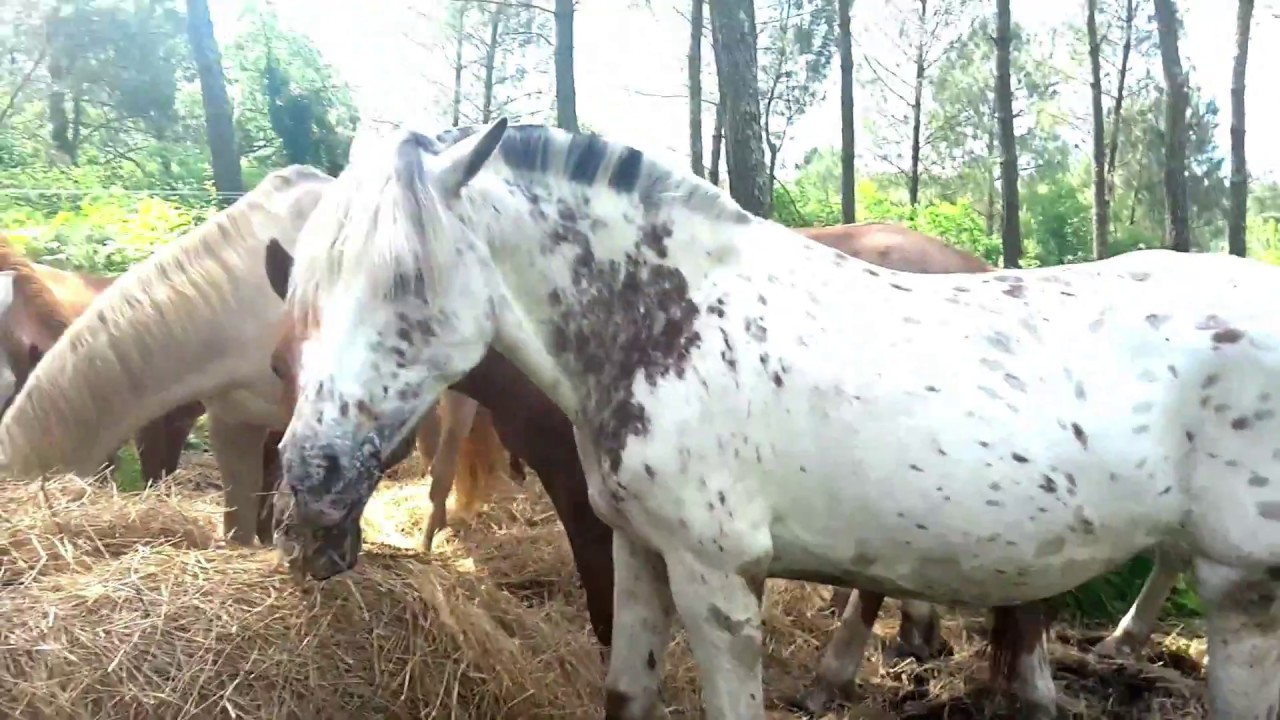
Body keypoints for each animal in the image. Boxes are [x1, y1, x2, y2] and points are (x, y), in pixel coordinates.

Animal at [275, 120, 1278, 720]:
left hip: (1241, 588)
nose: (311, 473)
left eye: (408, 280)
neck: (669, 328)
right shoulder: (641, 556)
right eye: (306, 300)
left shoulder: (717, 580)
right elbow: (626, 695)